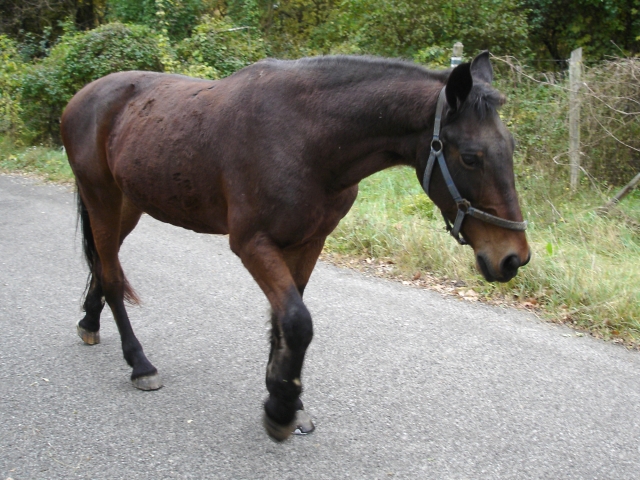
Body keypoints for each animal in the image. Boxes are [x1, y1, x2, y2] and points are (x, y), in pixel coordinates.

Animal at [61, 50, 528, 440]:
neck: (309, 136)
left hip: (128, 205)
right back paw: (139, 363)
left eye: (510, 147)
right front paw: (280, 409)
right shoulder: (252, 243)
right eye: (470, 156)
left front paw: (284, 395)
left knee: (104, 265)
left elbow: (283, 322)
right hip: (102, 199)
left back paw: (90, 321)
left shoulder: (308, 242)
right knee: (112, 275)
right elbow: (297, 321)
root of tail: (82, 97)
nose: (513, 258)